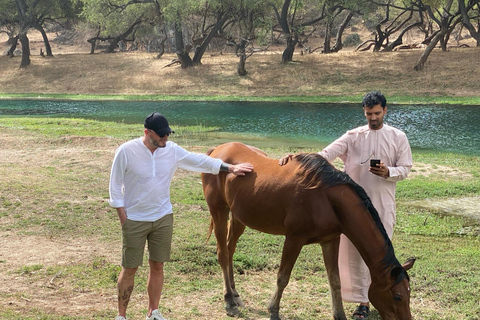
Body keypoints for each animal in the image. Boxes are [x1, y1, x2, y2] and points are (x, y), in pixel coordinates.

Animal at [201, 142, 414, 320]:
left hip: (238, 217)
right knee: (222, 253)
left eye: (409, 292)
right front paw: (274, 311)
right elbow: (283, 277)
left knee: (230, 250)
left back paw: (235, 294)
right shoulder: (294, 239)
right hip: (219, 211)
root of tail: (218, 150)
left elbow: (335, 280)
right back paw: (229, 301)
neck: (326, 197)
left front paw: (339, 315)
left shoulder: (330, 240)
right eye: (397, 296)